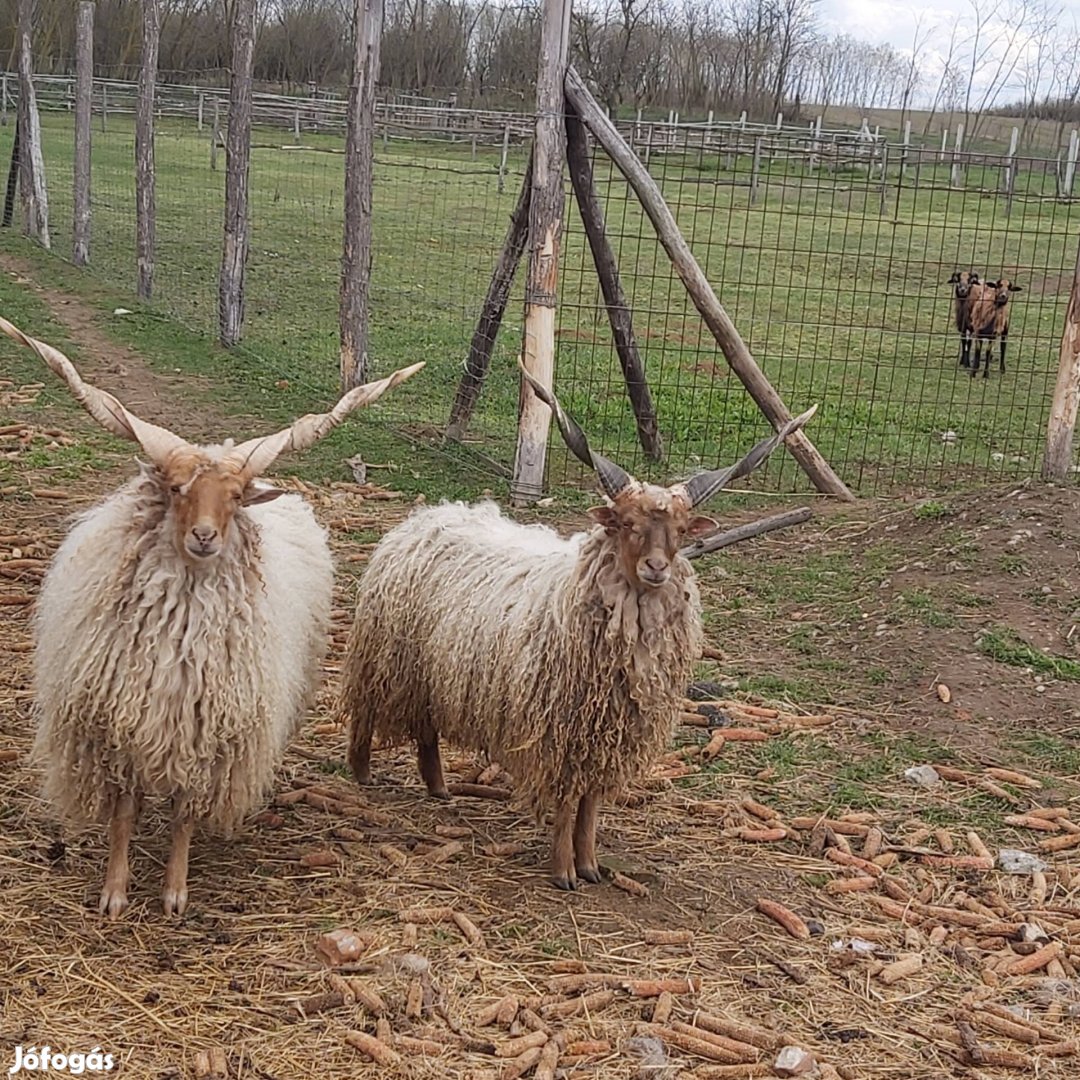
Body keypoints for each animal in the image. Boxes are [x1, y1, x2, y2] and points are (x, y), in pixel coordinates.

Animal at [4, 315, 425, 915]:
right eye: (176, 488)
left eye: (236, 497)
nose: (205, 536)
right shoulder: (122, 731)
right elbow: (124, 814)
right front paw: (115, 893)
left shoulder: (206, 740)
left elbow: (183, 815)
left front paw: (175, 894)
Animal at [341, 367, 812, 889]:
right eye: (624, 523)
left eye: (682, 530)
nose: (656, 568)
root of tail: (427, 516)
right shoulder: (560, 732)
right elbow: (568, 802)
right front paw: (562, 870)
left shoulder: (604, 736)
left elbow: (591, 805)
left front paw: (589, 864)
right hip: (385, 655)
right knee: (365, 713)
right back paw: (361, 773)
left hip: (433, 671)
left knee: (426, 731)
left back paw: (440, 788)